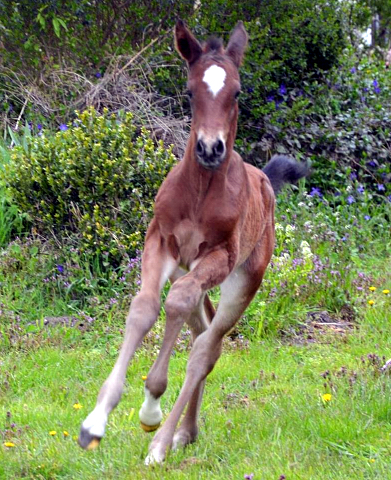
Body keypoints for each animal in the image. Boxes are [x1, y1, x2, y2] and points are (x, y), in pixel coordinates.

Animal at [77, 20, 310, 464]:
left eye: (236, 91)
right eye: (189, 91)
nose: (210, 148)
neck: (200, 191)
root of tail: (265, 180)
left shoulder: (220, 255)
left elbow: (177, 306)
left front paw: (151, 407)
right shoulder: (161, 241)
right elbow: (144, 308)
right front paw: (95, 422)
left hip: (244, 277)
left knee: (206, 347)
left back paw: (162, 441)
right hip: (191, 269)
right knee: (201, 328)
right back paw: (186, 432)